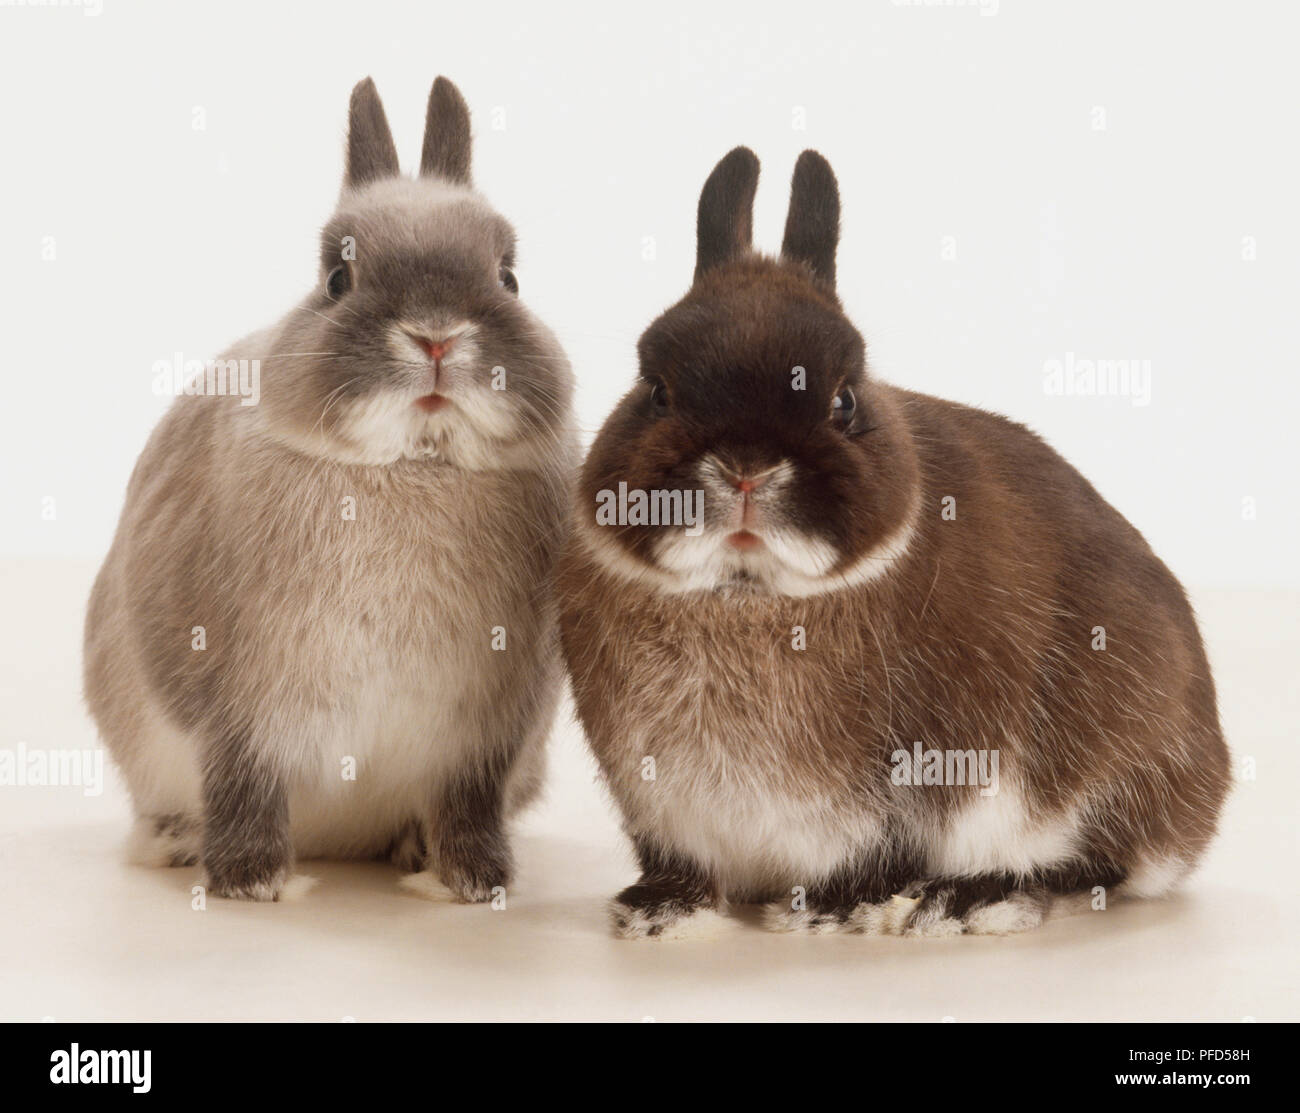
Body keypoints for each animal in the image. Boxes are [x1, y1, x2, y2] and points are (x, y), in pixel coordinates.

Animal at [84, 76, 576, 902]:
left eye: (508, 275)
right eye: (336, 277)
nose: (436, 334)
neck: (410, 467)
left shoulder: (488, 736)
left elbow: (469, 802)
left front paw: (473, 884)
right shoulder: (234, 713)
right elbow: (241, 782)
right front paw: (252, 883)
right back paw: (177, 842)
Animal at [556, 146, 1229, 939]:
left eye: (844, 400)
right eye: (656, 390)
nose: (747, 467)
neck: (743, 590)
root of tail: (1205, 796)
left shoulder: (921, 779)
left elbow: (883, 852)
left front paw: (835, 908)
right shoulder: (658, 805)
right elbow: (682, 866)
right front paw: (660, 910)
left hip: (1108, 768)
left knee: (1097, 862)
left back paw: (971, 899)